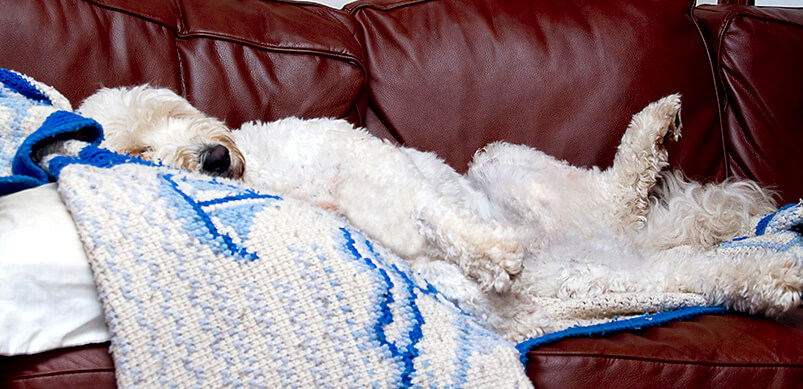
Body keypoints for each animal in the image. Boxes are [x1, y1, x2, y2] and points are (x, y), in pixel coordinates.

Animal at [77, 85, 803, 340]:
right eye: (135, 152)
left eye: (173, 112)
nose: (213, 158)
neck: (274, 174)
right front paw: (492, 256)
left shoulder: (365, 163)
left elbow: (425, 210)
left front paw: (488, 250)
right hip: (602, 279)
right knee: (704, 269)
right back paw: (780, 277)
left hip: (505, 163)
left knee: (621, 192)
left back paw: (654, 125)